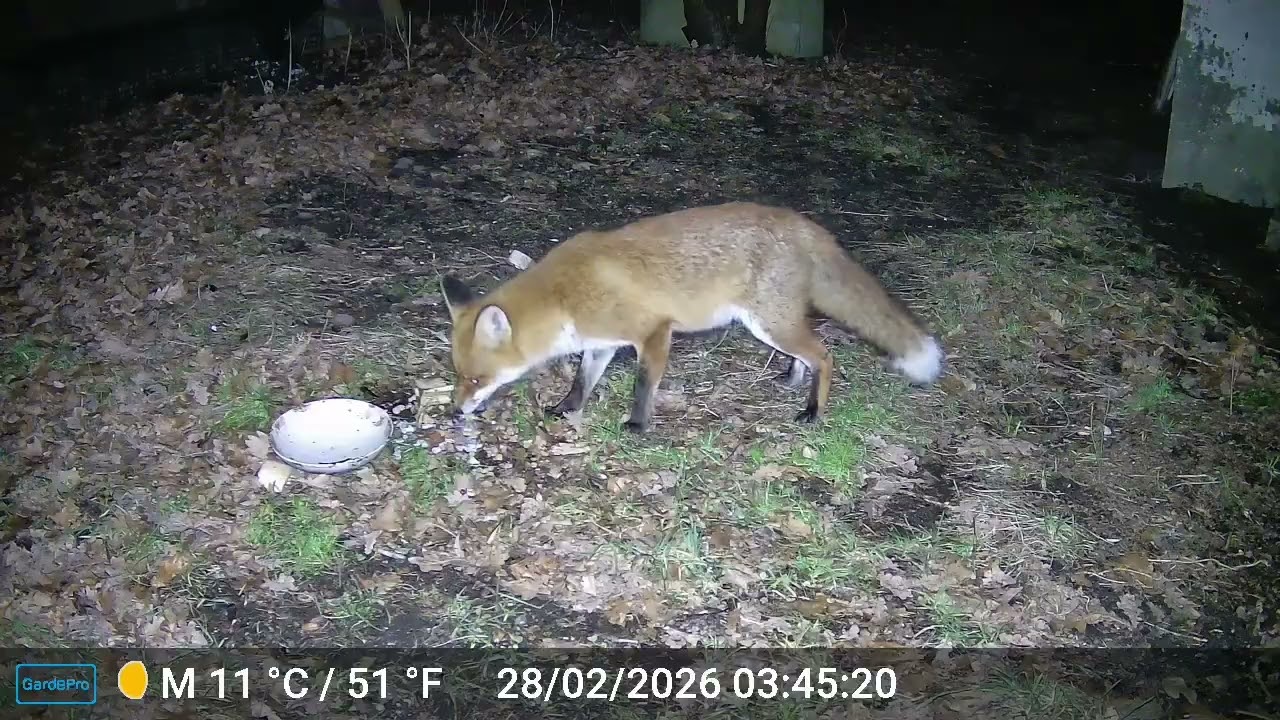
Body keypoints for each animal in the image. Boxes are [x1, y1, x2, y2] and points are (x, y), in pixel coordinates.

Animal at [439, 201, 944, 433]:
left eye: (477, 379)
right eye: (457, 375)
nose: (455, 411)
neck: (563, 296)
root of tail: (802, 223)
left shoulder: (653, 332)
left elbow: (644, 385)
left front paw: (637, 425)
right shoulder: (601, 342)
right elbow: (582, 381)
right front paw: (567, 407)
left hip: (769, 324)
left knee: (825, 354)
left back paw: (813, 410)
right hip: (772, 325)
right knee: (809, 349)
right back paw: (791, 379)